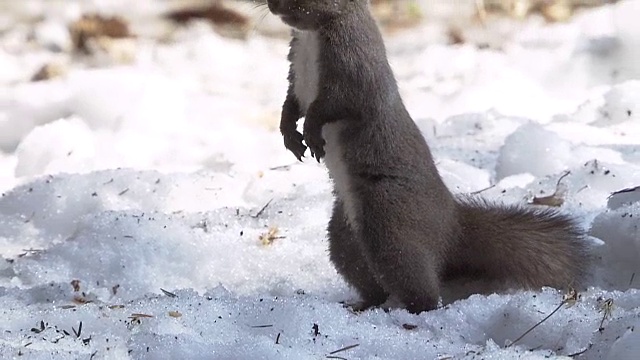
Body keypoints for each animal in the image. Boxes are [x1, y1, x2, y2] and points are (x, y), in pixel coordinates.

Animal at [264, 0, 592, 312]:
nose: (272, 4)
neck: (311, 37)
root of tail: (450, 227)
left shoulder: (356, 69)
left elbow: (334, 105)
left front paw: (311, 131)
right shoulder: (296, 72)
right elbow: (290, 104)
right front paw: (290, 135)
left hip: (391, 229)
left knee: (419, 288)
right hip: (345, 239)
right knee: (371, 282)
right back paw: (362, 306)